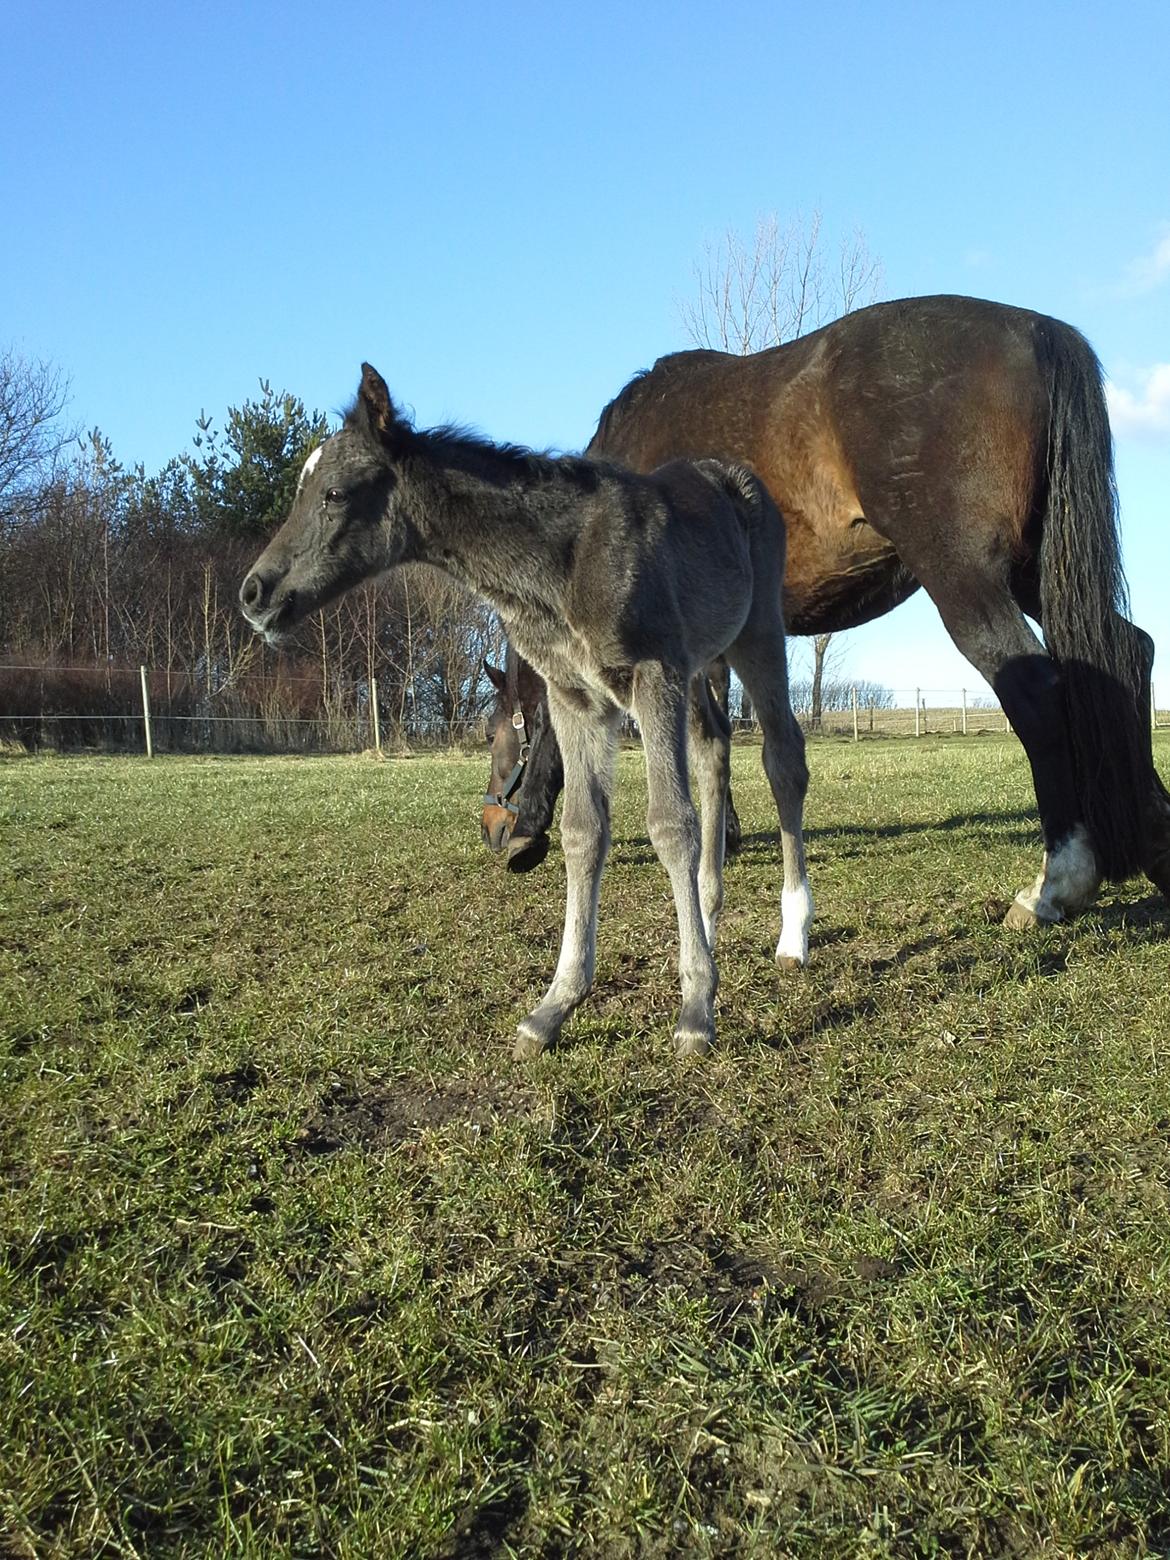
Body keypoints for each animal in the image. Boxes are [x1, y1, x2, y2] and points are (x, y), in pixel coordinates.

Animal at [243, 361, 811, 1060]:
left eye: (334, 494)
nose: (254, 593)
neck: (559, 565)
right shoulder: (576, 697)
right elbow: (582, 832)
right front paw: (555, 1005)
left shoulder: (654, 675)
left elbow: (669, 824)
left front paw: (696, 1008)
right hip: (705, 660)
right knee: (713, 748)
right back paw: (706, 912)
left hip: (758, 635)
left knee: (783, 759)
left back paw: (794, 934)